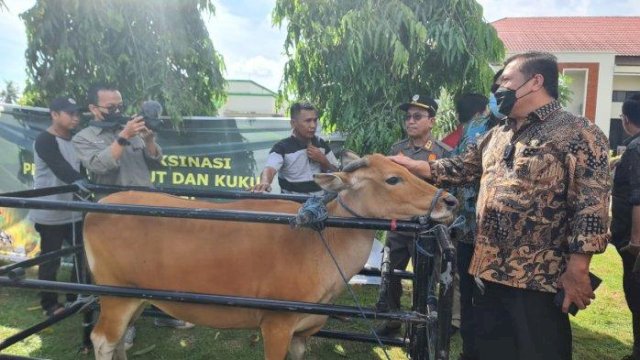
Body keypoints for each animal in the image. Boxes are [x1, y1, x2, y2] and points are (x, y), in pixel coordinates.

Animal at [85, 153, 458, 358]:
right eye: (393, 178)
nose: (450, 201)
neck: (319, 244)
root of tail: (97, 207)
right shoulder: (275, 326)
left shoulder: (302, 333)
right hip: (114, 296)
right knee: (103, 341)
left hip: (137, 298)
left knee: (119, 343)